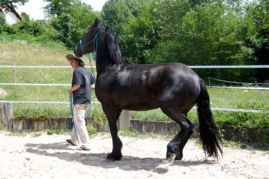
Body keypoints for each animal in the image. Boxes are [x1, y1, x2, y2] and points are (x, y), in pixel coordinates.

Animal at [74, 18, 222, 162]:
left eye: (87, 33)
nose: (76, 49)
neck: (111, 68)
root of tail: (197, 78)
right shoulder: (118, 108)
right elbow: (114, 129)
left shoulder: (109, 107)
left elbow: (112, 129)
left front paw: (115, 154)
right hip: (183, 109)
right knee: (187, 129)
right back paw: (178, 154)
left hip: (168, 107)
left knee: (188, 125)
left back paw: (171, 150)